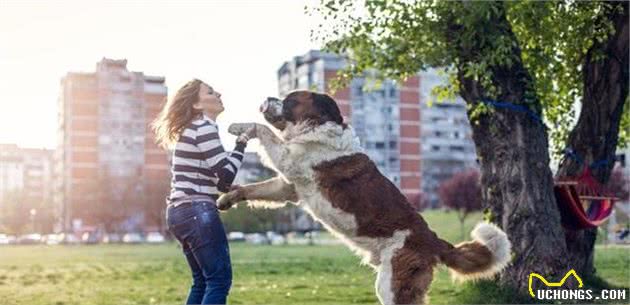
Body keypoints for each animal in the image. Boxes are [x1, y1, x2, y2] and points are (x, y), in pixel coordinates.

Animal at [220, 90, 512, 304]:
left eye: (290, 99)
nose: (267, 97)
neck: (316, 126)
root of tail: (434, 240)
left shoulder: (289, 160)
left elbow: (263, 130)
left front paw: (238, 125)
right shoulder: (289, 186)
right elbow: (258, 188)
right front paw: (228, 198)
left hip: (392, 284)